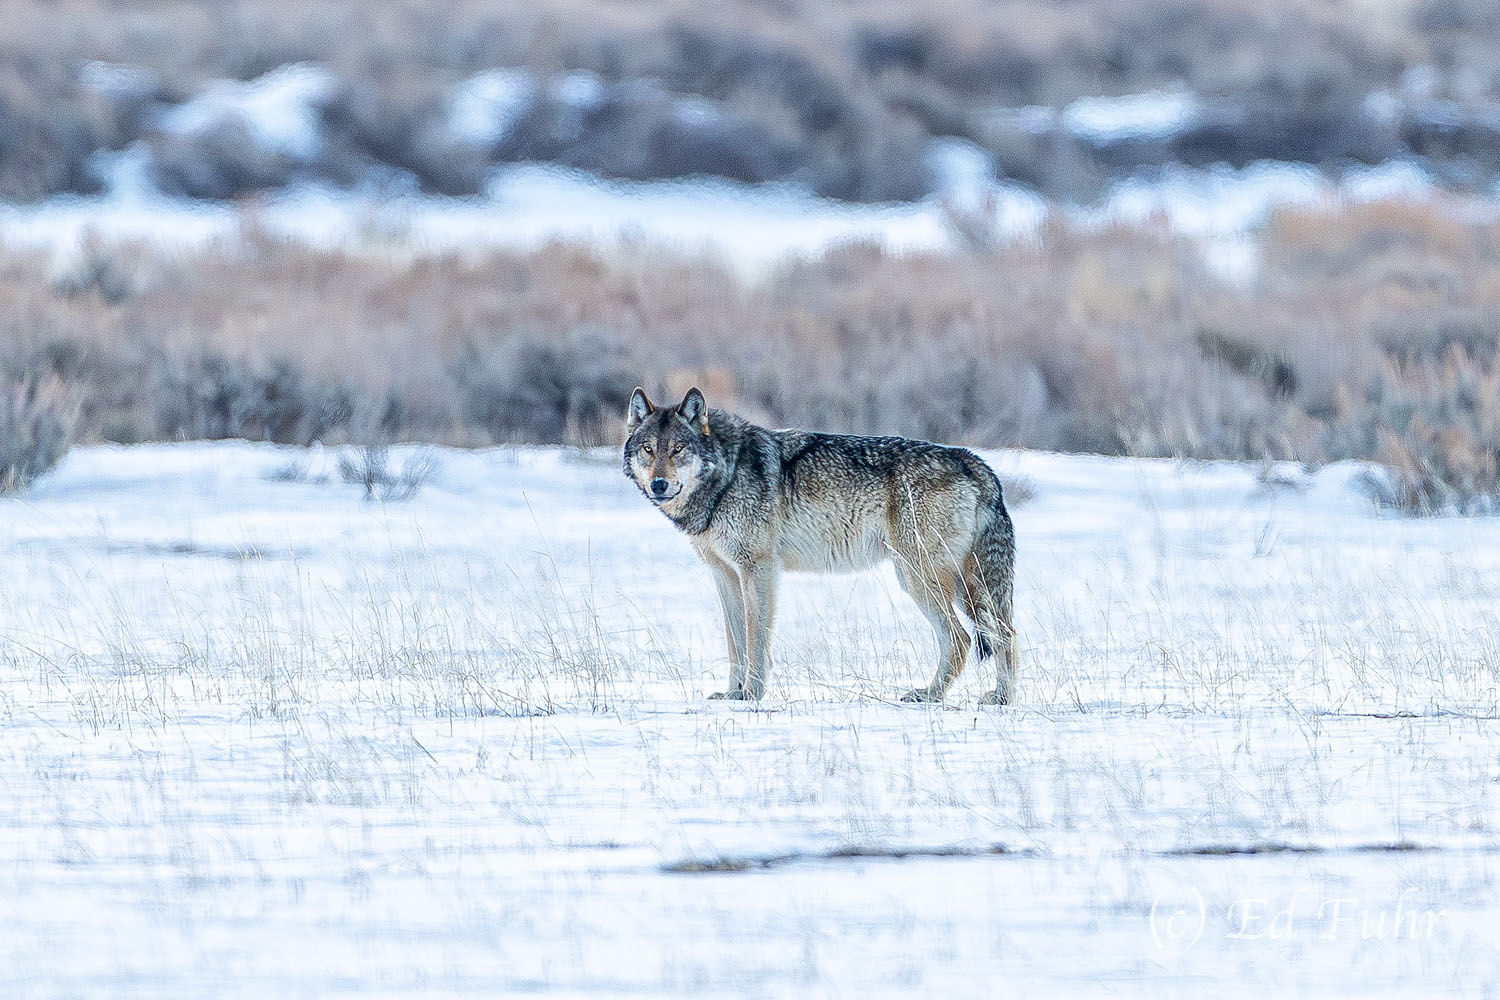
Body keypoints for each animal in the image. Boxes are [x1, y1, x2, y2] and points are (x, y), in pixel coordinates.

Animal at [623, 387, 1017, 704]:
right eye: (648, 449)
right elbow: (735, 641)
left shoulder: (759, 569)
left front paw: (752, 693)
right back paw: (997, 698)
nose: (659, 485)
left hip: (920, 578)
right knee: (1003, 633)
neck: (727, 475)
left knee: (963, 639)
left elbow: (754, 639)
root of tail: (972, 460)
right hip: (961, 586)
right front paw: (733, 692)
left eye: (678, 449)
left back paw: (934, 695)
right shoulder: (725, 575)